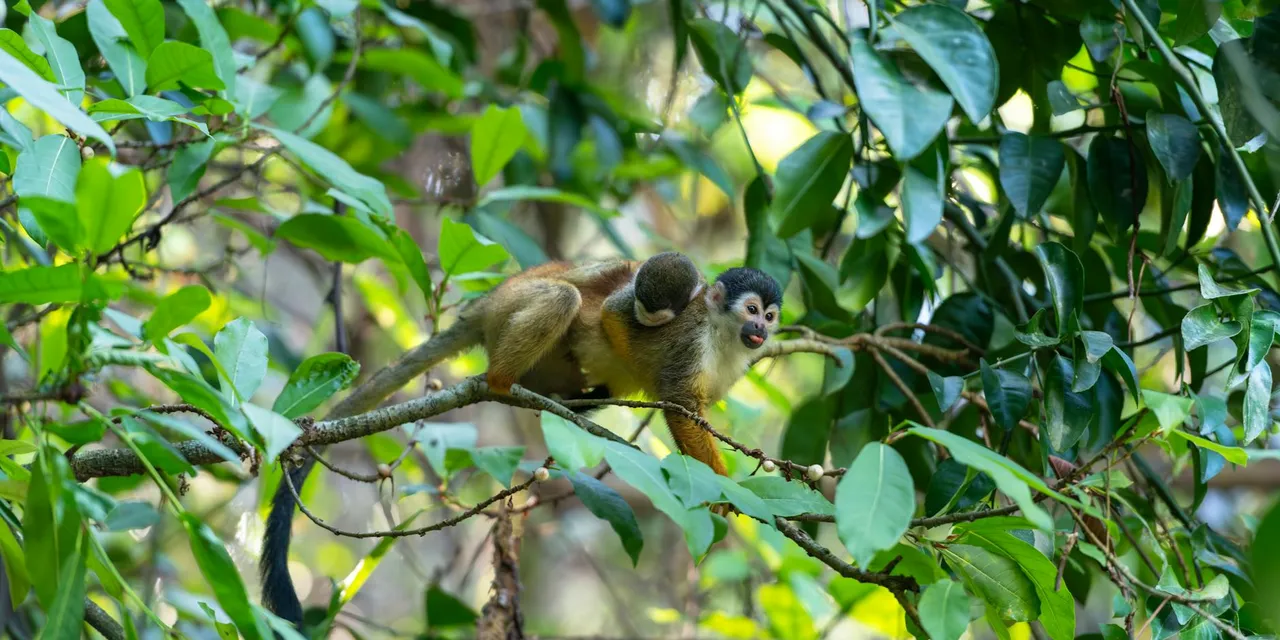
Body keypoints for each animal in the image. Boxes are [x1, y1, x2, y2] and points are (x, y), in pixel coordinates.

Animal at [260, 253, 781, 627]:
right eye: (751, 310)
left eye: (771, 316)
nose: (760, 329)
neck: (722, 336)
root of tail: (487, 302)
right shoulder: (689, 341)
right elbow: (678, 406)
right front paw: (726, 490)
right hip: (515, 304)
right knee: (564, 298)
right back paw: (503, 380)